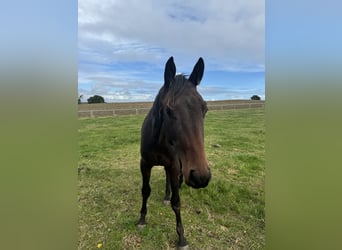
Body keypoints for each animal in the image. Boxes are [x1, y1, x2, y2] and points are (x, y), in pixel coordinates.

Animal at [137, 57, 211, 250]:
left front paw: (182, 238)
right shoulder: (144, 164)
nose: (201, 176)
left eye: (204, 109)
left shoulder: (174, 165)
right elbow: (145, 191)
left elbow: (176, 202)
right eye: (168, 110)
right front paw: (141, 219)